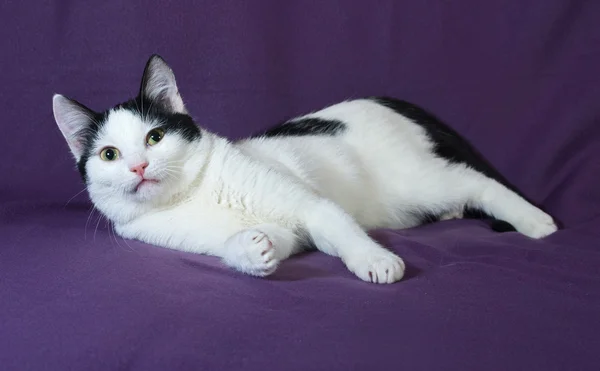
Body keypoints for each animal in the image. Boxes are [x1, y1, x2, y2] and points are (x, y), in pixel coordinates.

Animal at [51, 54, 556, 284]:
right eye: (109, 155)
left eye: (154, 137)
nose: (138, 167)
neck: (191, 195)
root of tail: (384, 100)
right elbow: (262, 242)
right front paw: (251, 250)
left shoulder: (307, 202)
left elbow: (333, 222)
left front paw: (374, 260)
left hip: (410, 182)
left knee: (473, 181)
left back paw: (534, 220)